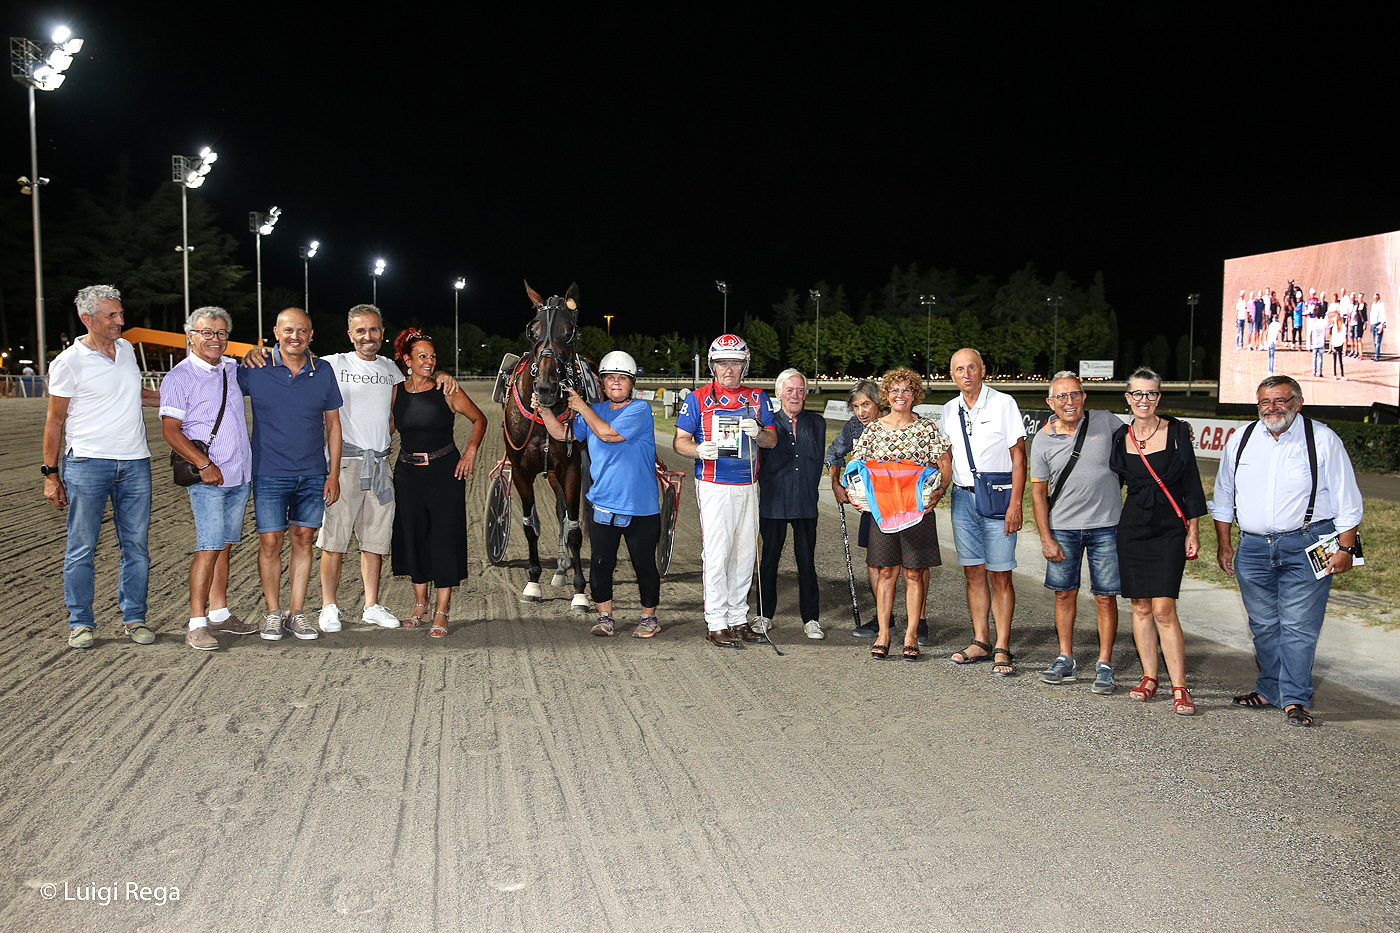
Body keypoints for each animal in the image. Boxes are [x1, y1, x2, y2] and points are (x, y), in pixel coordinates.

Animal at [504, 280, 590, 607]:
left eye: (570, 331)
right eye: (533, 329)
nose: (546, 388)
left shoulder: (571, 467)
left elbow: (574, 527)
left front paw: (580, 590)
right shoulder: (519, 470)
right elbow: (530, 525)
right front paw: (532, 582)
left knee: (566, 514)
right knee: (558, 510)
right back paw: (559, 570)